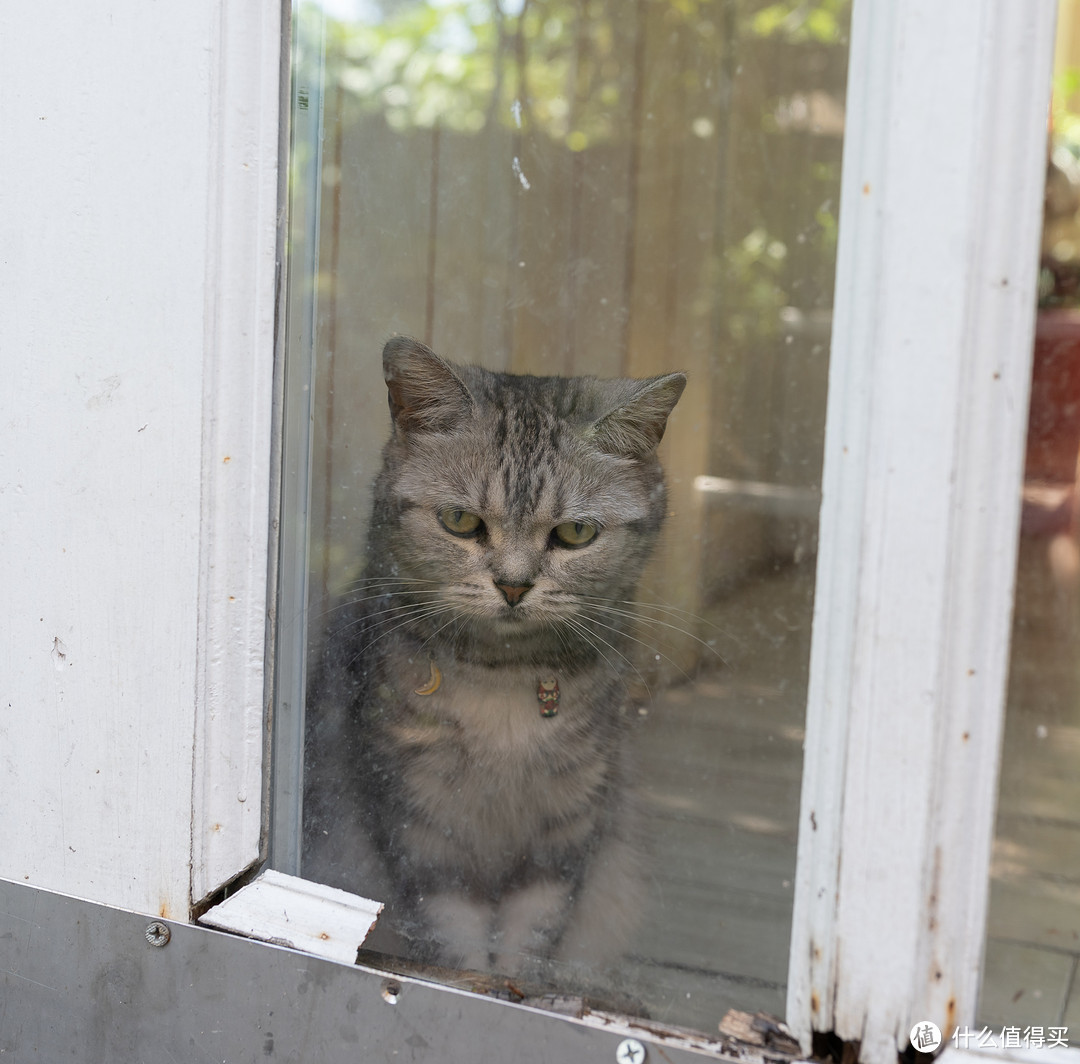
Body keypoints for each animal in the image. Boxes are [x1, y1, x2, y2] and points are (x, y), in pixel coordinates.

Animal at [304, 337, 682, 976]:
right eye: (461, 521)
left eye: (576, 533)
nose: (513, 586)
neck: (503, 686)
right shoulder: (422, 831)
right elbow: (455, 944)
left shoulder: (564, 834)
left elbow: (528, 944)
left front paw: (511, 982)